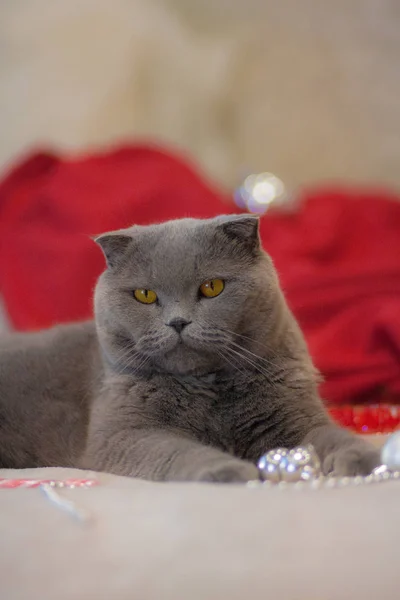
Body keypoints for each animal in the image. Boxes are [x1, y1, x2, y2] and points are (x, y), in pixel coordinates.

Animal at [0, 216, 380, 482]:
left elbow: (330, 434)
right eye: (145, 295)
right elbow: (179, 451)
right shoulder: (123, 434)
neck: (208, 388)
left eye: (212, 287)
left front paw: (365, 458)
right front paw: (227, 471)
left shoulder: (296, 416)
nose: (178, 321)